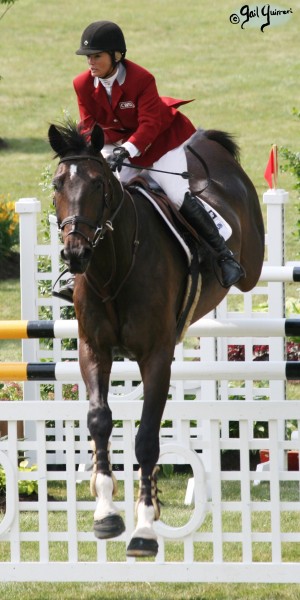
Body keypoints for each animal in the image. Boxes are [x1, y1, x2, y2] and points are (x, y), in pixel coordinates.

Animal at [48, 122, 264, 556]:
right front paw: (105, 512)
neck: (113, 268)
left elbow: (147, 437)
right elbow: (99, 421)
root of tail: (206, 142)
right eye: (57, 183)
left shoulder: (156, 357)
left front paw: (145, 527)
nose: (75, 254)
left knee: (247, 269)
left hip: (253, 263)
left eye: (99, 184)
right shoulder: (94, 351)